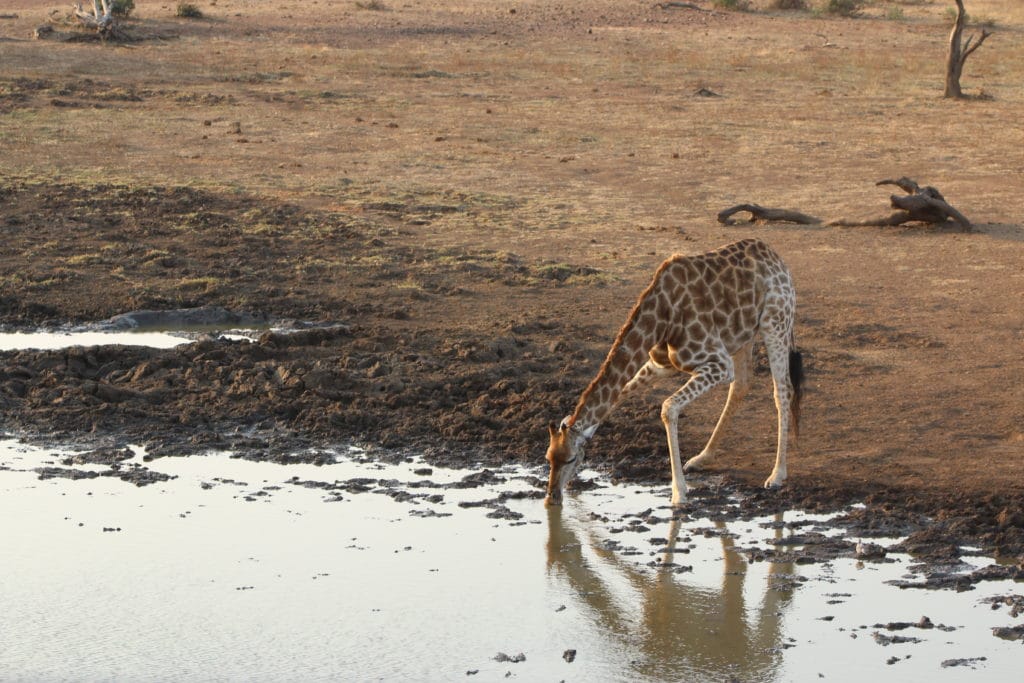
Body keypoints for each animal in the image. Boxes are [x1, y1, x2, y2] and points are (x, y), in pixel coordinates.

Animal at [548, 239, 802, 507]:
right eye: (548, 458)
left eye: (570, 459)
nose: (551, 497)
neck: (661, 319)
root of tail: (775, 257)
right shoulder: (659, 365)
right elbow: (622, 393)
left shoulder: (719, 364)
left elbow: (668, 408)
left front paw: (679, 493)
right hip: (743, 335)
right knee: (742, 384)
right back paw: (702, 458)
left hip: (775, 322)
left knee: (783, 390)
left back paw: (777, 474)